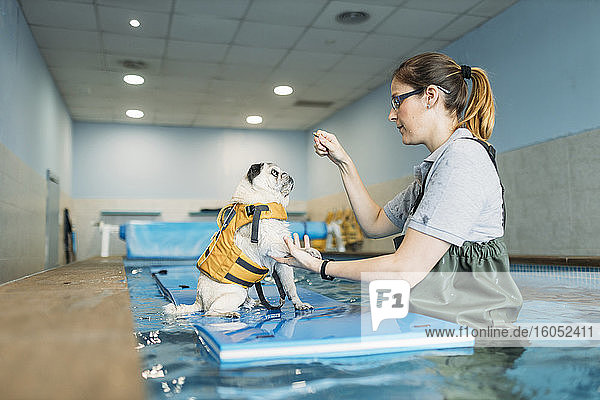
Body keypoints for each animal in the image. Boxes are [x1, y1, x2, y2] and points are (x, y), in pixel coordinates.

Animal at [165, 163, 318, 318]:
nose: (287, 174)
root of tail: (199, 300)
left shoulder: (282, 264)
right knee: (209, 312)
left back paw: (255, 303)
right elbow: (291, 247)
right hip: (237, 293)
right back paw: (229, 313)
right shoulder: (272, 245)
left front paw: (299, 304)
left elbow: (290, 288)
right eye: (275, 173)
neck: (263, 202)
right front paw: (307, 250)